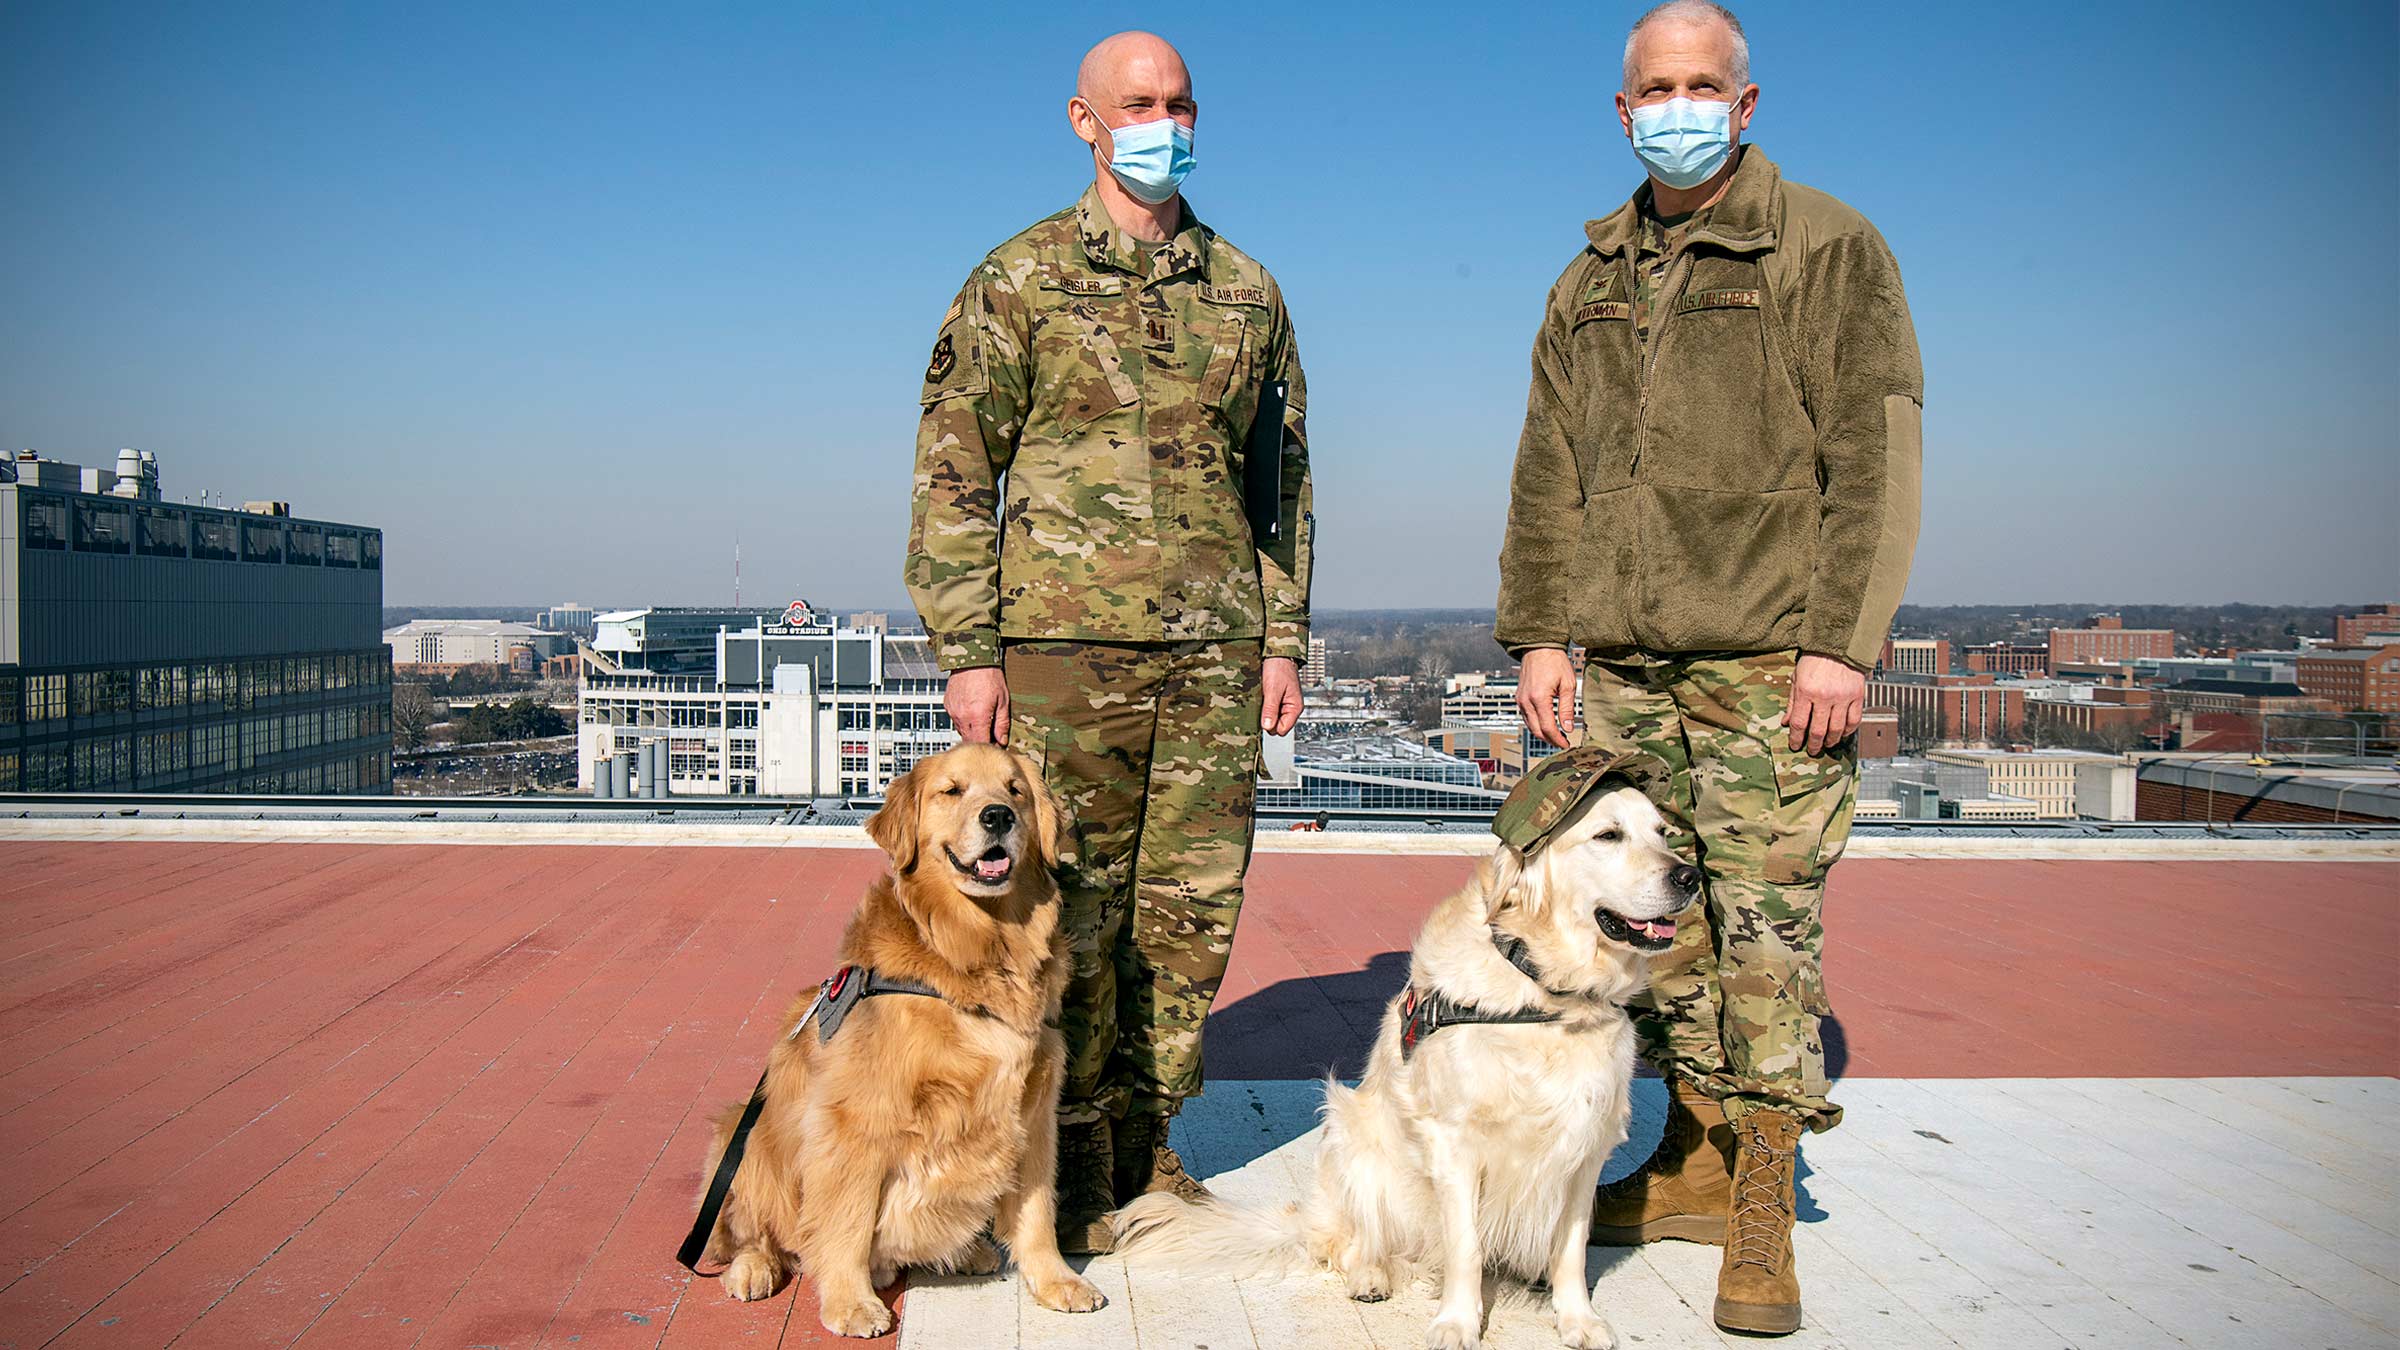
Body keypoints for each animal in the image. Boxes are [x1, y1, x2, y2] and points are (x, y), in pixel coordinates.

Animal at [696, 744, 1104, 1335]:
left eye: (1015, 791)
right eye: (952, 791)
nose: (998, 816)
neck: (976, 953)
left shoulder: (1035, 1111)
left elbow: (1037, 1212)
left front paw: (1057, 1280)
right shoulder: (856, 1120)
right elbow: (845, 1220)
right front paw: (850, 1303)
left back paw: (969, 1252)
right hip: (742, 1133)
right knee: (751, 1232)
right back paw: (754, 1269)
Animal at [1104, 778, 1689, 1345]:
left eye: (1662, 832)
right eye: (1608, 835)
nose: (1687, 876)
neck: (1544, 990)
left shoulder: (1585, 1141)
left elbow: (1570, 1247)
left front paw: (1578, 1320)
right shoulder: (1454, 1143)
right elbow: (1465, 1247)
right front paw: (1457, 1324)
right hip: (1354, 1142)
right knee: (1353, 1244)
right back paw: (1370, 1276)